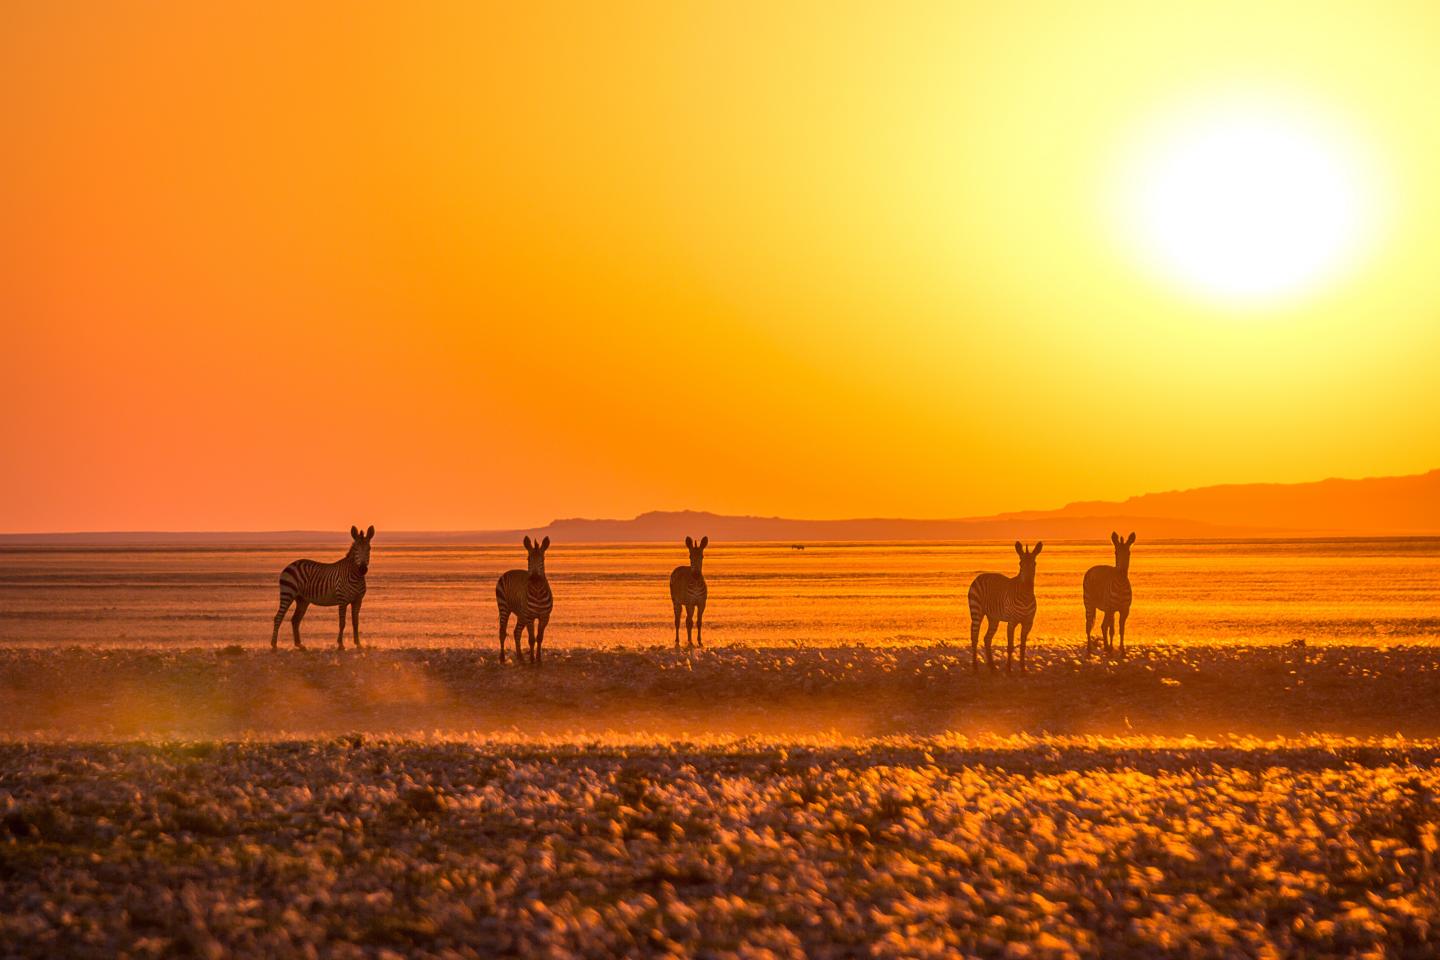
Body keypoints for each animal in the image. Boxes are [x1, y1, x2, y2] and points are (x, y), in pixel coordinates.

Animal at [967, 544, 1048, 673]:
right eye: (1020, 564)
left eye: (1034, 563)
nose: (1027, 584)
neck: (1026, 596)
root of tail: (981, 576)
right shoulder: (1012, 622)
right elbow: (1010, 646)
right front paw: (1009, 669)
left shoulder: (1028, 623)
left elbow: (1023, 646)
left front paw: (1023, 669)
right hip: (976, 611)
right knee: (974, 637)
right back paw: (975, 667)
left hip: (993, 618)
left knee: (987, 638)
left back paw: (992, 667)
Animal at [1082, 532, 1140, 662]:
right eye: (1116, 553)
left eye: (1128, 553)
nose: (1121, 572)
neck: (1121, 584)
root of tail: (1092, 568)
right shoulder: (1112, 609)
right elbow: (1112, 630)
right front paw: (1112, 650)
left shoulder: (1124, 610)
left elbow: (1121, 630)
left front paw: (1122, 651)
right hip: (1090, 604)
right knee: (1089, 625)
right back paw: (1089, 649)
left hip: (1106, 610)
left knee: (1103, 626)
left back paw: (1106, 647)